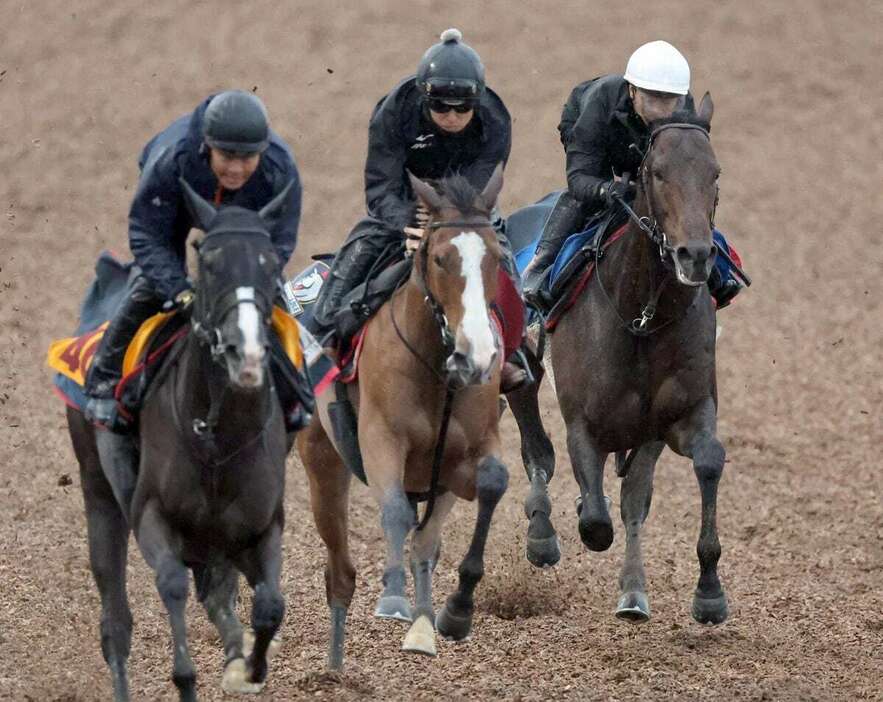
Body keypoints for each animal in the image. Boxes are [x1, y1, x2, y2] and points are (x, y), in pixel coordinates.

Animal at [64, 183, 296, 702]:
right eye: (207, 260)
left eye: (271, 262)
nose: (247, 352)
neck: (218, 436)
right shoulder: (152, 514)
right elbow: (171, 585)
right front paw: (192, 676)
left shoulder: (261, 526)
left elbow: (270, 605)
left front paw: (248, 666)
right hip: (98, 492)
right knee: (116, 623)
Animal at [298, 166, 512, 672]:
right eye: (439, 258)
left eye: (495, 258)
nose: (478, 354)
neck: (438, 367)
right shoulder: (381, 439)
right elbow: (394, 509)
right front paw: (393, 599)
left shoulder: (468, 454)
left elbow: (491, 483)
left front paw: (456, 612)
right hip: (322, 463)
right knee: (340, 571)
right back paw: (334, 666)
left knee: (423, 545)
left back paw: (422, 629)